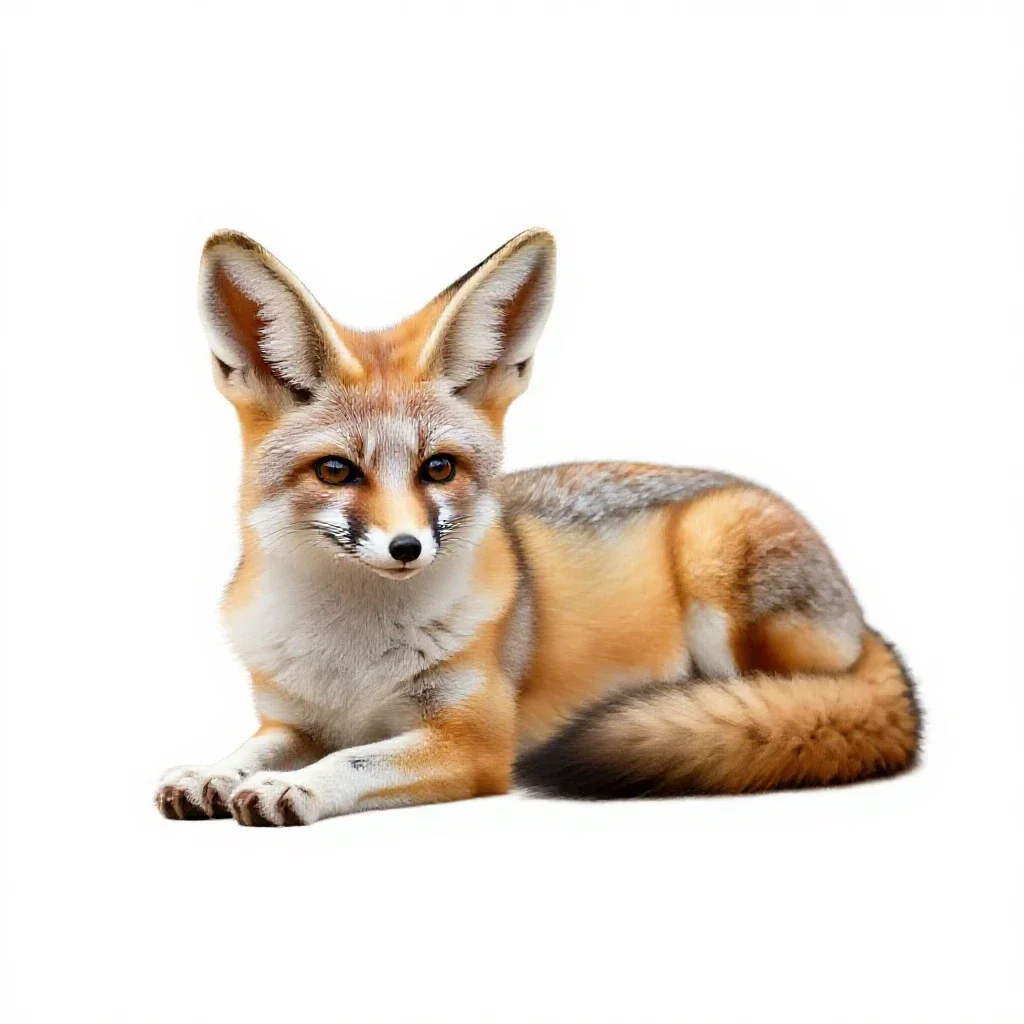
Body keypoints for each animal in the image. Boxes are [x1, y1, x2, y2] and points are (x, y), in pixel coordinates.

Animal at [155, 228, 921, 826]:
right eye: (336, 471)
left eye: (438, 468)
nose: (407, 548)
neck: (351, 656)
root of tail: (865, 625)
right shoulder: (291, 717)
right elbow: (254, 747)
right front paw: (213, 772)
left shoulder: (474, 742)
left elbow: (356, 758)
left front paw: (296, 786)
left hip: (717, 561)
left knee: (781, 699)